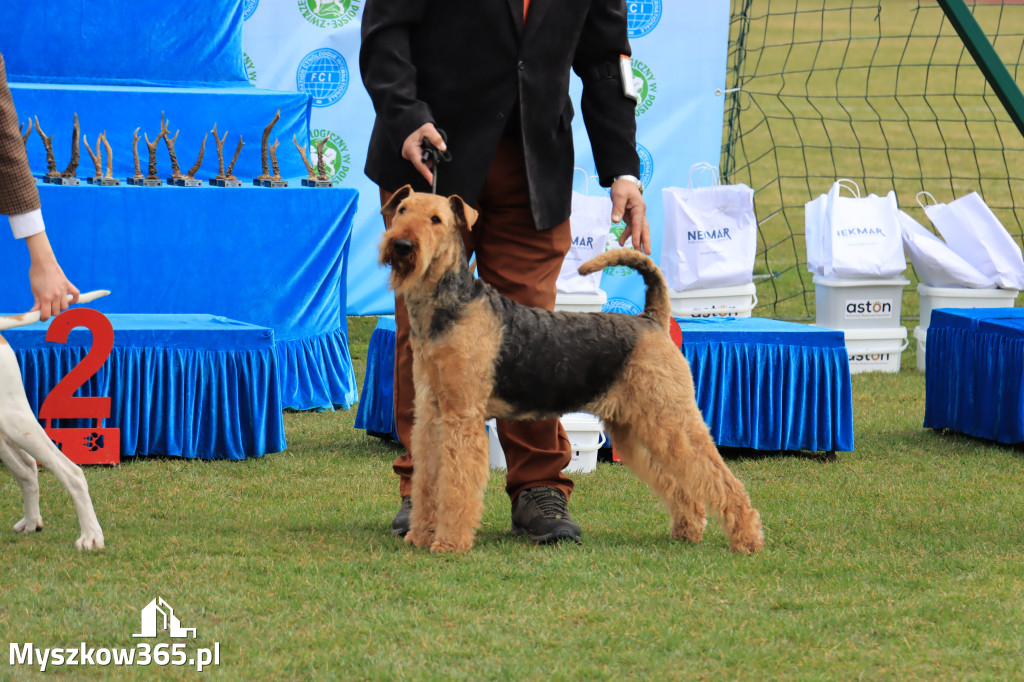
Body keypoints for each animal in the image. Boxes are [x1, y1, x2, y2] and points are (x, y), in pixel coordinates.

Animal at [380, 184, 765, 552]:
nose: (401, 245)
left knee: (719, 478)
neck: (449, 306)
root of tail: (652, 319)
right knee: (681, 484)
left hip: (669, 419)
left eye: (436, 219)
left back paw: (746, 539)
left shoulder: (461, 418)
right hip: (638, 427)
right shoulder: (432, 415)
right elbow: (428, 481)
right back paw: (688, 529)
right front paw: (419, 535)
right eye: (402, 210)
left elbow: (455, 487)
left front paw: (448, 543)